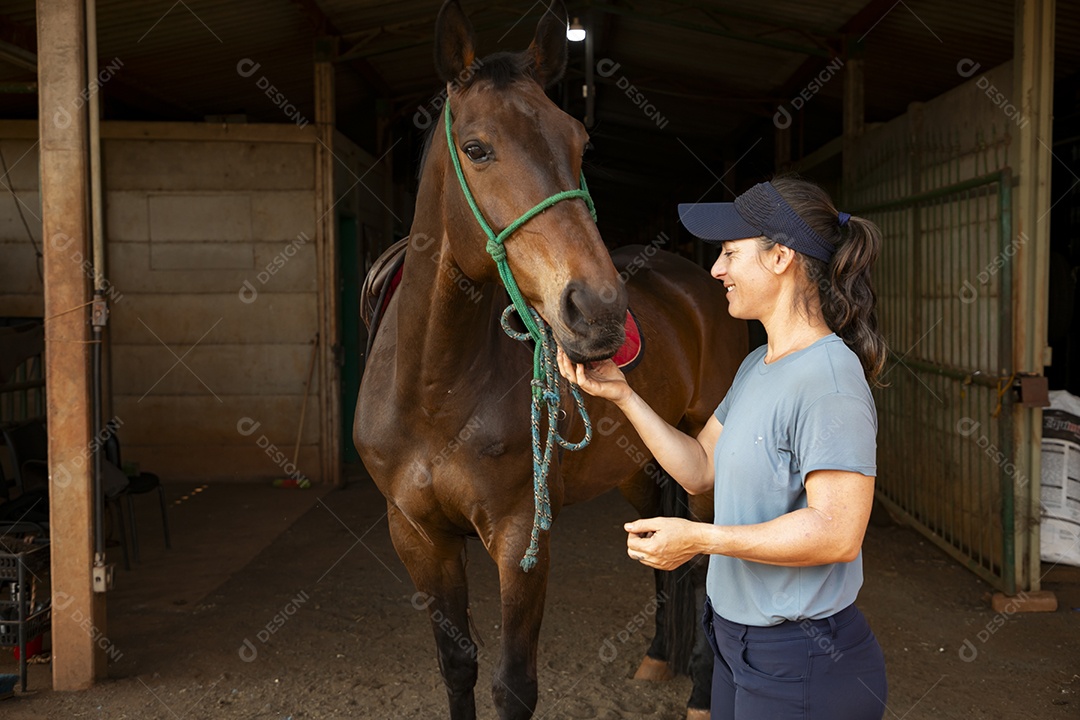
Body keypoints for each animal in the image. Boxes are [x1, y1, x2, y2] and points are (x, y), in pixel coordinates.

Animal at [354, 1, 747, 718]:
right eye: (477, 148)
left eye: (580, 143)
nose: (600, 309)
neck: (433, 389)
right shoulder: (417, 536)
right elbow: (457, 664)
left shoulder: (520, 538)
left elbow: (514, 684)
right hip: (640, 469)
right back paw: (657, 657)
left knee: (708, 566)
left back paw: (704, 693)